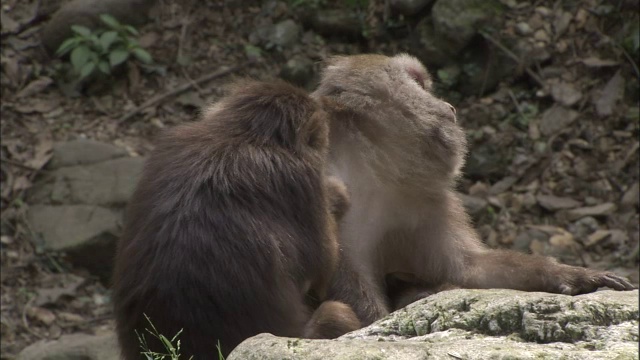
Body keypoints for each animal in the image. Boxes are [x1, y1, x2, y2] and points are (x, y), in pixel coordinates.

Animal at [310, 53, 636, 326]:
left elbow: (466, 268)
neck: (375, 168)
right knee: (335, 311)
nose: (449, 106)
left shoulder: (428, 199)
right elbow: (346, 275)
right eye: (418, 83)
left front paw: (571, 274)